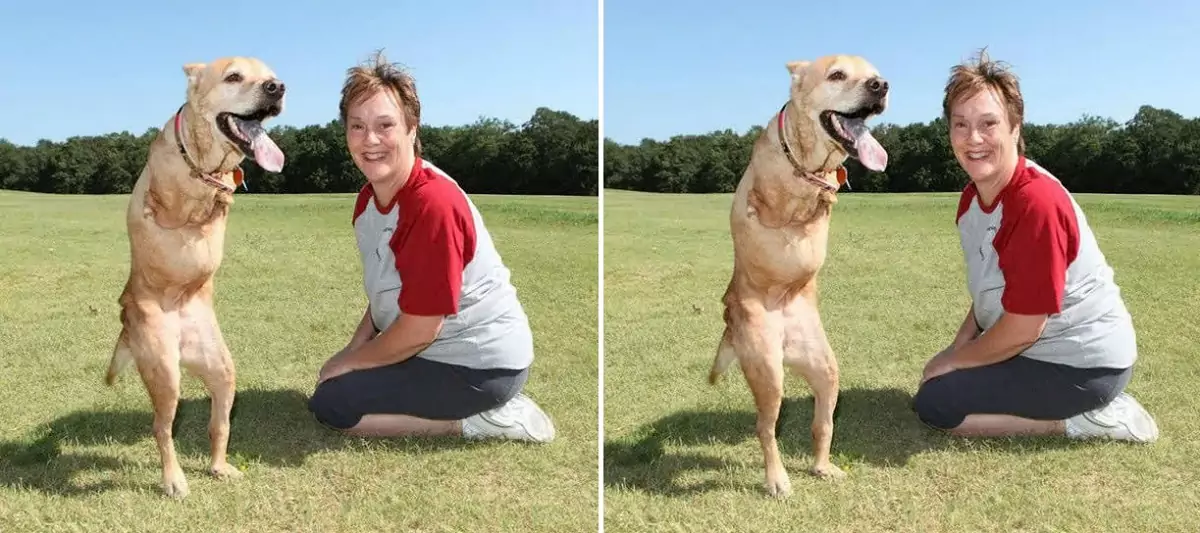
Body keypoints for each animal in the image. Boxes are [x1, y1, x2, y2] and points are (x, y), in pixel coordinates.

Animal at [104, 57, 286, 499]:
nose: (277, 87)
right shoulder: (166, 201)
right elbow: (175, 204)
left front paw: (221, 194)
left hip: (222, 371)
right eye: (234, 76)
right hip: (165, 373)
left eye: (269, 74)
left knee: (217, 425)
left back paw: (220, 467)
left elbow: (222, 195)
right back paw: (174, 479)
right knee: (161, 428)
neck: (204, 162)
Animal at [705, 55, 888, 499]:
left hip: (825, 369)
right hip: (769, 373)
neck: (807, 160)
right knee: (765, 428)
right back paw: (777, 479)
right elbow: (776, 203)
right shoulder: (765, 197)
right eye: (837, 74)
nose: (881, 86)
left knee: (822, 424)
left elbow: (824, 196)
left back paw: (823, 467)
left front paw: (824, 193)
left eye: (873, 73)